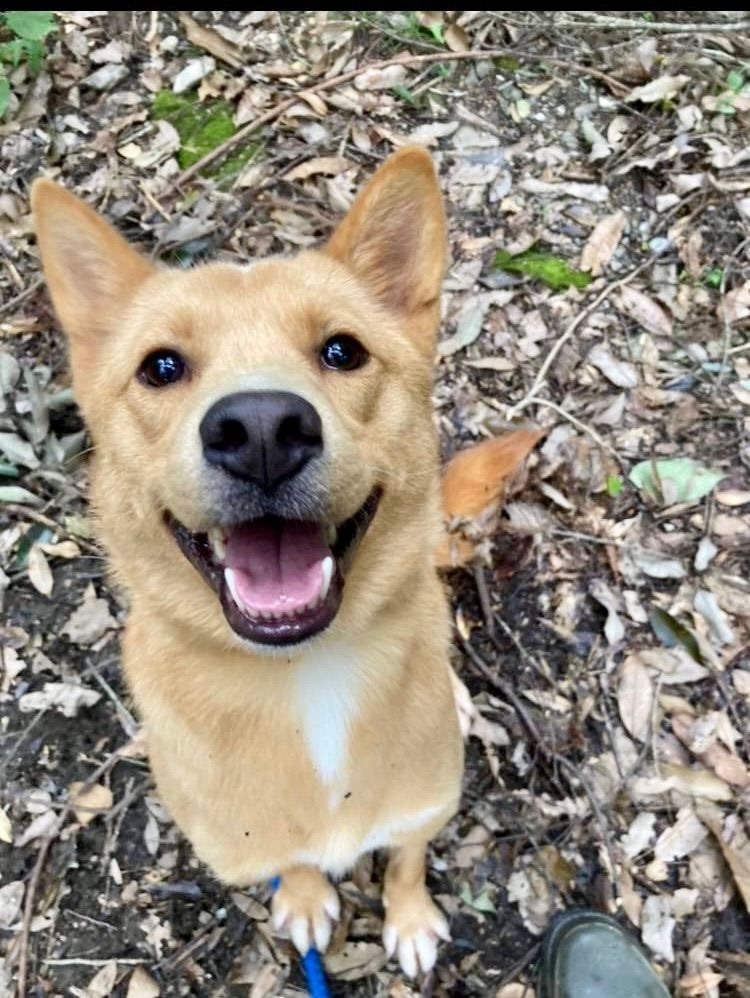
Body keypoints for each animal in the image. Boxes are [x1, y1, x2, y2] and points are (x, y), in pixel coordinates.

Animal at [32, 152, 468, 980]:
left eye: (342, 351)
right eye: (161, 367)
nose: (262, 428)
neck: (307, 675)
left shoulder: (425, 802)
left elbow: (406, 856)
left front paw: (409, 914)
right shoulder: (248, 838)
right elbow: (291, 862)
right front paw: (303, 897)